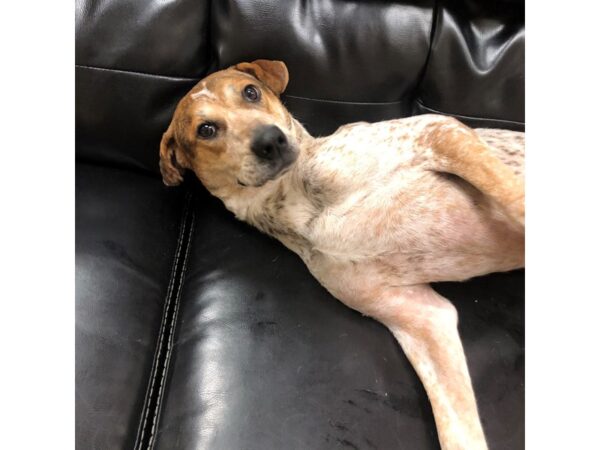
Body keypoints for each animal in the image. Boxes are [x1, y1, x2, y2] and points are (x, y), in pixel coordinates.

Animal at [159, 59, 524, 450]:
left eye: (250, 92)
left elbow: (516, 198)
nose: (270, 140)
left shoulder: (438, 130)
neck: (295, 199)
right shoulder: (424, 319)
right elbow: (457, 431)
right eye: (206, 129)